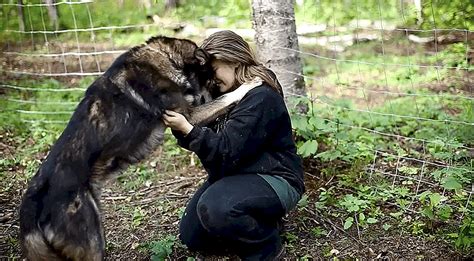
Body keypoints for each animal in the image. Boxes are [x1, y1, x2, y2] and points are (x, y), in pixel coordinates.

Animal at [18, 35, 258, 258]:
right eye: (213, 82)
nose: (217, 87)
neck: (166, 59)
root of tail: (32, 201)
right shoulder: (189, 116)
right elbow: (225, 99)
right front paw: (250, 84)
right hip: (93, 242)